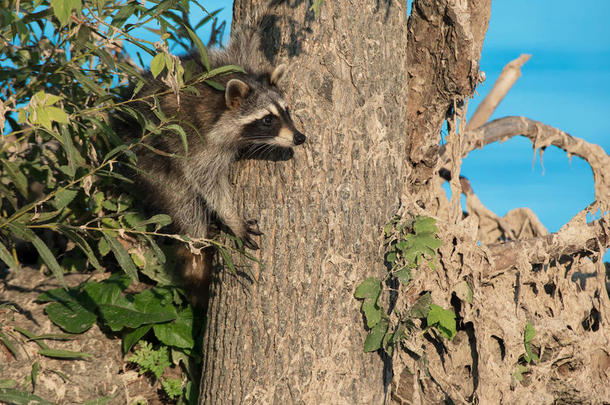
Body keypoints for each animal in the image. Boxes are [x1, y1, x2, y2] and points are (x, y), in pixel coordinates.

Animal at [121, 30, 306, 251]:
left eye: (286, 111)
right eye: (267, 120)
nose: (300, 137)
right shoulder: (197, 142)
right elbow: (206, 179)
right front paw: (231, 217)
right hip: (148, 158)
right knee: (182, 201)